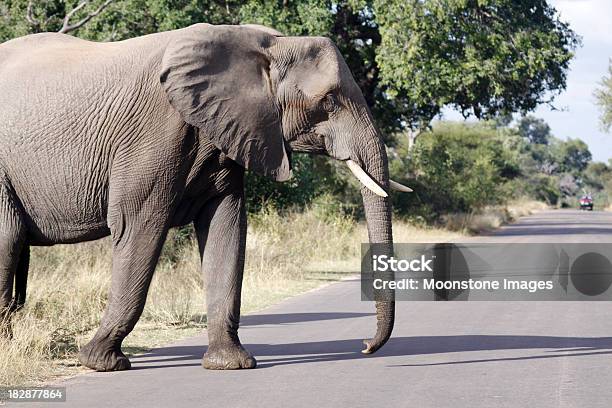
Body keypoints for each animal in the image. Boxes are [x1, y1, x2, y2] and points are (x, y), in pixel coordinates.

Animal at [0, 23, 412, 372]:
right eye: (328, 102)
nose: (365, 346)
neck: (265, 43)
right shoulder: (152, 135)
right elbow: (139, 228)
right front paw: (99, 362)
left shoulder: (228, 132)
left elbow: (226, 229)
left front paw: (231, 364)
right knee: (9, 240)